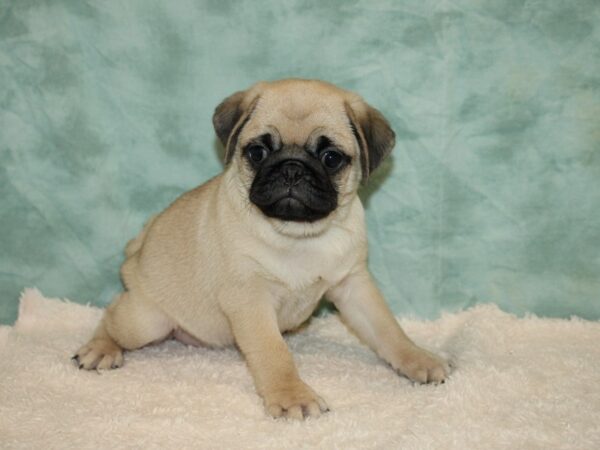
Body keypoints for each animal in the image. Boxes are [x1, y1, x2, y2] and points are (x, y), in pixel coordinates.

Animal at [72, 79, 448, 420]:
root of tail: (138, 249)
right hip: (146, 320)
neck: (299, 235)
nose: (292, 168)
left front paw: (418, 358)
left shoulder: (353, 286)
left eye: (331, 158)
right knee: (112, 315)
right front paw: (292, 395)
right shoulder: (250, 299)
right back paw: (100, 348)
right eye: (257, 152)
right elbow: (273, 353)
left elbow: (388, 329)